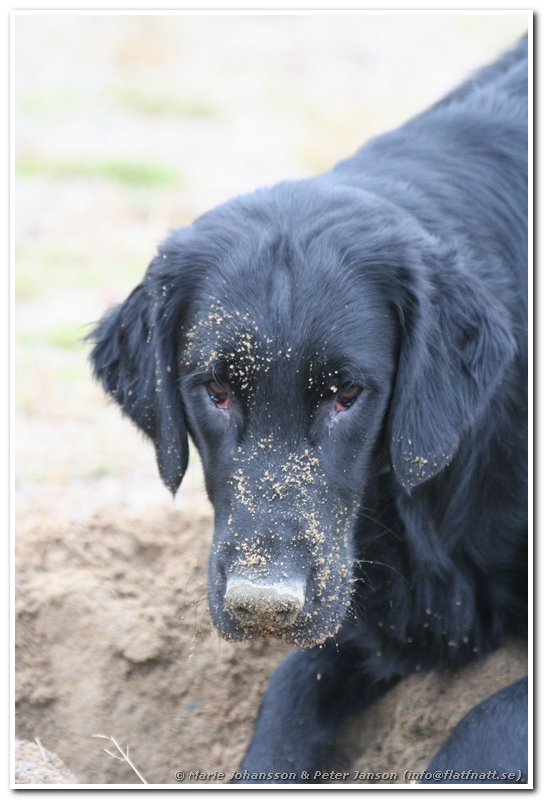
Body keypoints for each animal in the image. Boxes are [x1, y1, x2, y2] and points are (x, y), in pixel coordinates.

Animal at [89, 36, 528, 784]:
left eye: (346, 395)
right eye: (216, 390)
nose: (264, 607)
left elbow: (488, 719)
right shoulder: (354, 599)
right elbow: (288, 695)